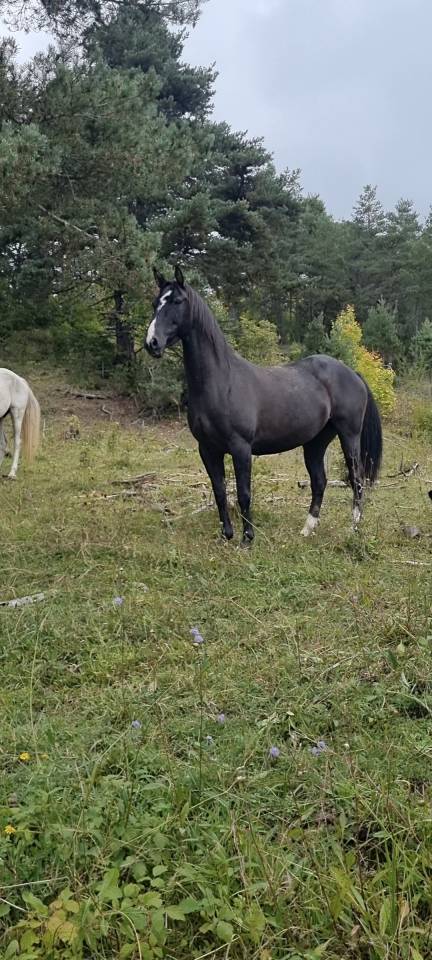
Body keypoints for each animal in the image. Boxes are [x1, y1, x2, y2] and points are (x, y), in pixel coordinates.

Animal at [145, 267, 383, 544]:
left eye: (177, 301)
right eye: (155, 303)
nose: (152, 343)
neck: (221, 382)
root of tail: (352, 373)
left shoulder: (241, 448)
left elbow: (244, 493)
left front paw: (247, 538)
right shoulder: (207, 449)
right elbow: (219, 492)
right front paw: (226, 535)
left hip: (349, 436)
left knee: (357, 479)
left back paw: (353, 527)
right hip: (316, 442)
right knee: (319, 482)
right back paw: (307, 529)